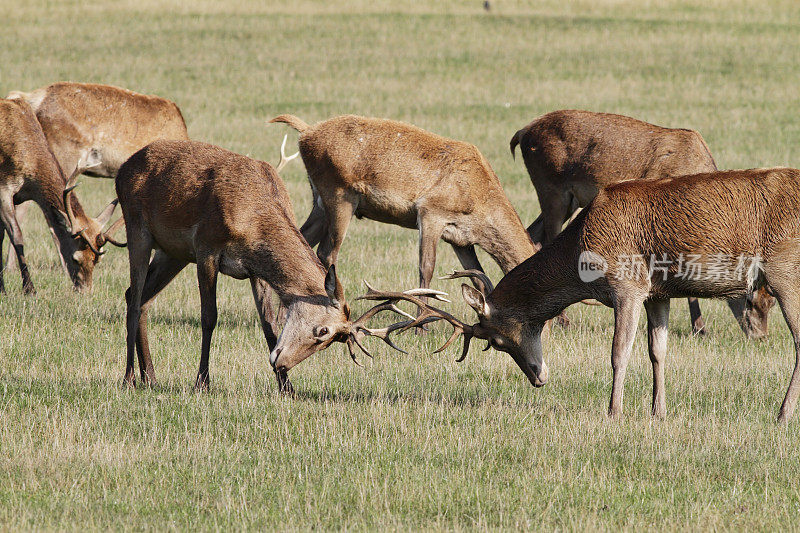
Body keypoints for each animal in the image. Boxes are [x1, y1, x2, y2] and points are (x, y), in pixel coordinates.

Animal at [0, 97, 125, 294]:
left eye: (97, 260)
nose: (85, 291)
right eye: (75, 258)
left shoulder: (19, 196)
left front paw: (3, 288)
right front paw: (29, 289)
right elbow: (17, 236)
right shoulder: (4, 188)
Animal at [113, 139, 432, 392]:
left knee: (141, 297)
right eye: (323, 332)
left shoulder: (255, 271)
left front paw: (287, 387)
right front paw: (202, 382)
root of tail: (124, 168)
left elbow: (269, 324)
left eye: (332, 341)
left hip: (174, 253)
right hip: (137, 227)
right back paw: (129, 377)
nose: (283, 364)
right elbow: (209, 317)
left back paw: (150, 377)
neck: (253, 222)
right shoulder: (206, 247)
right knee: (134, 296)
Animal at [396, 167, 800, 424]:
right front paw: (658, 412)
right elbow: (657, 352)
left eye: (495, 341)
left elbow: (619, 352)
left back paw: (781, 415)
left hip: (784, 270)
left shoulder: (628, 284)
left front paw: (614, 412)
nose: (538, 378)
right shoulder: (658, 292)